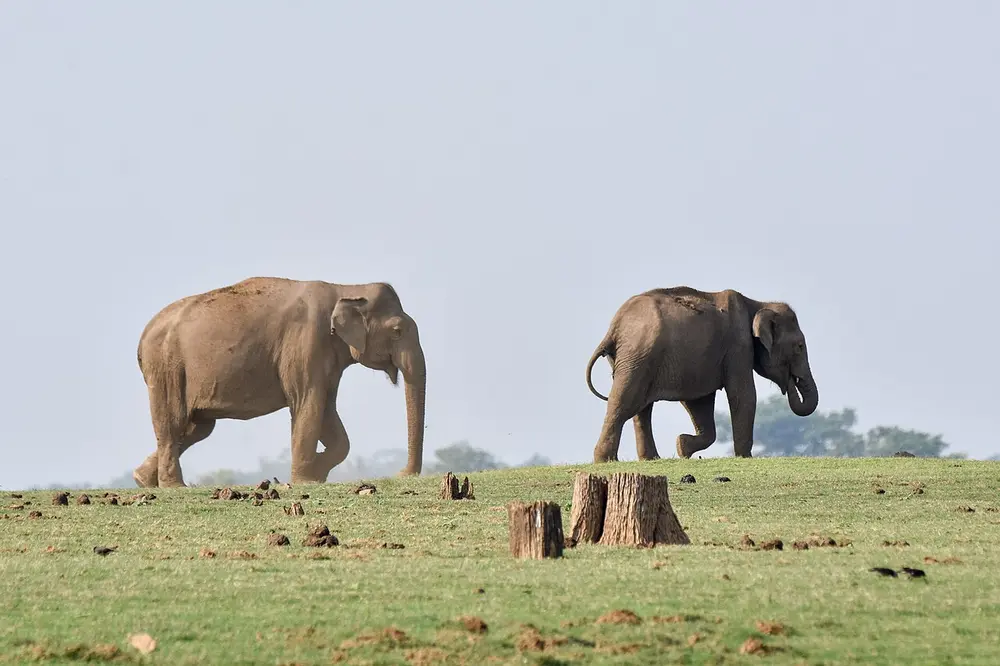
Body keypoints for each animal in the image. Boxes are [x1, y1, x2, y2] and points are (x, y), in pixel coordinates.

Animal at [133, 277, 426, 488]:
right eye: (397, 331)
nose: (401, 474)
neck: (346, 288)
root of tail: (142, 337)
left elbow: (328, 413)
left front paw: (315, 474)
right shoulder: (305, 344)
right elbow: (309, 404)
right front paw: (305, 479)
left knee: (197, 427)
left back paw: (143, 480)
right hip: (166, 366)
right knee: (173, 422)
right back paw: (174, 487)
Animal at [586, 286, 818, 461]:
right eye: (799, 347)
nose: (790, 382)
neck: (757, 304)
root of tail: (614, 328)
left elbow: (699, 402)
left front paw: (682, 447)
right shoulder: (738, 345)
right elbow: (743, 395)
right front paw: (744, 457)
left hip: (633, 358)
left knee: (641, 408)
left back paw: (651, 459)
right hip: (637, 355)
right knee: (623, 401)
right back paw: (606, 460)